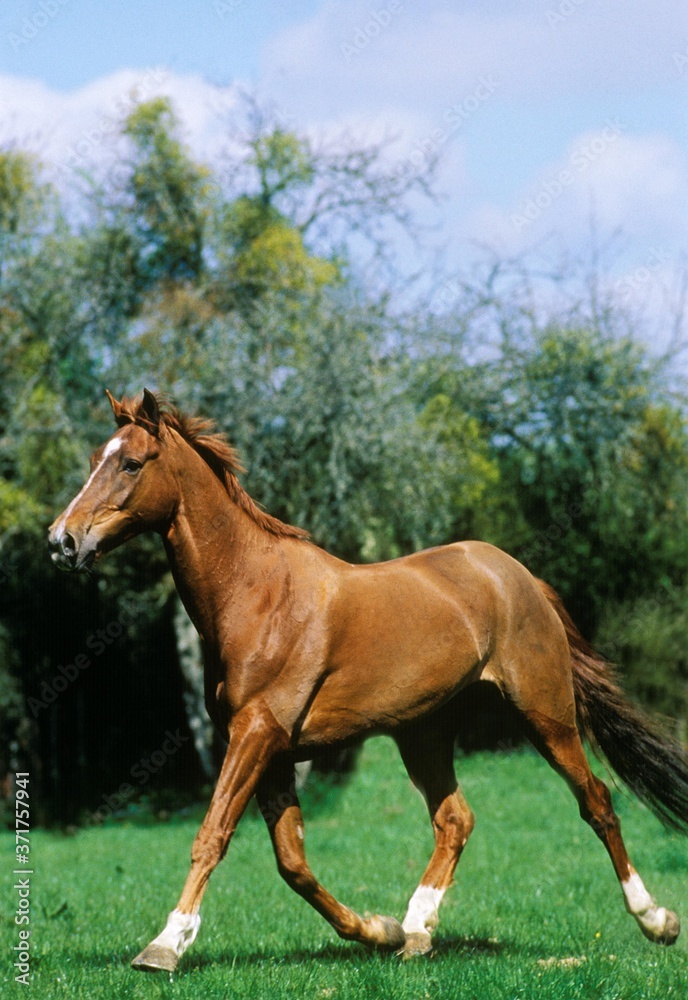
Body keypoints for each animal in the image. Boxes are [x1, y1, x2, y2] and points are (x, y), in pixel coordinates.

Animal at [48, 388, 688, 968]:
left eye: (131, 463)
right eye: (94, 458)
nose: (62, 540)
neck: (256, 595)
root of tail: (520, 577)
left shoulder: (255, 734)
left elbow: (213, 835)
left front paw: (165, 944)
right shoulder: (272, 750)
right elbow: (293, 864)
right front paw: (377, 930)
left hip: (545, 715)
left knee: (597, 802)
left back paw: (655, 920)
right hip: (423, 733)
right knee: (455, 821)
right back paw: (416, 932)